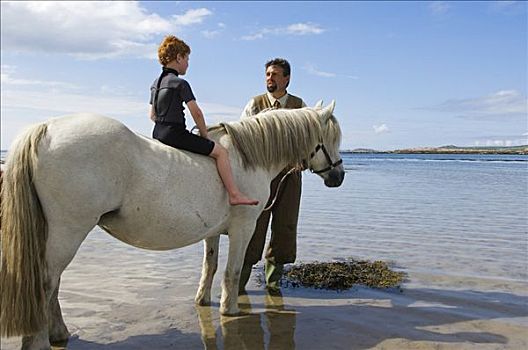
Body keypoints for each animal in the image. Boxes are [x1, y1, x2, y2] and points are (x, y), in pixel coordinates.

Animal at [0, 102, 344, 350]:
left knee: (53, 284)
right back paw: (41, 341)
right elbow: (232, 272)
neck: (247, 158)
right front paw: (230, 310)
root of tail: (46, 128)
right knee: (47, 282)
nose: (338, 176)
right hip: (68, 232)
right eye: (331, 138)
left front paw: (203, 301)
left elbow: (210, 266)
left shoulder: (212, 233)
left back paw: (58, 333)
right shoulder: (243, 229)